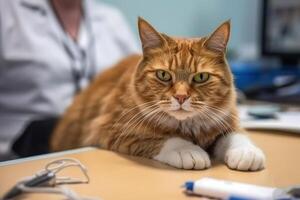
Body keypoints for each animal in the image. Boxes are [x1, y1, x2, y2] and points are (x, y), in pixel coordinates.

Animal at [51, 17, 264, 170]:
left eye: (201, 77)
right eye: (163, 75)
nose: (181, 97)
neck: (188, 127)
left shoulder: (225, 121)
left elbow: (236, 135)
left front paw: (246, 152)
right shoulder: (112, 130)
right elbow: (164, 139)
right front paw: (188, 150)